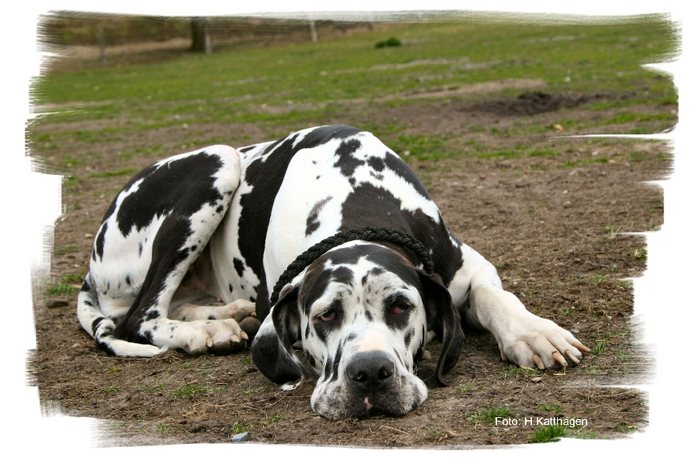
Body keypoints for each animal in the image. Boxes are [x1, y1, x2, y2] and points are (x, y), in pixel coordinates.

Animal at [78, 125, 592, 420]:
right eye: (324, 316)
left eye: (401, 306)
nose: (369, 372)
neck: (355, 195)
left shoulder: (464, 264)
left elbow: (495, 296)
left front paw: (534, 333)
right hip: (219, 163)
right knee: (140, 314)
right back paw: (202, 332)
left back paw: (226, 316)